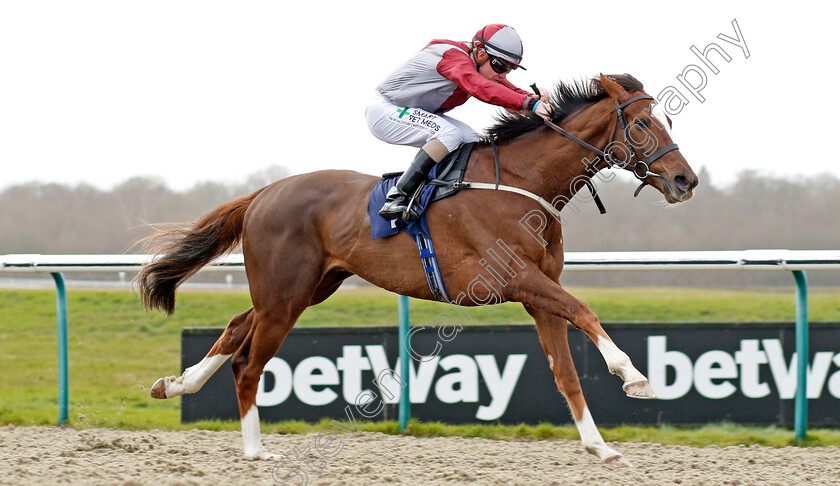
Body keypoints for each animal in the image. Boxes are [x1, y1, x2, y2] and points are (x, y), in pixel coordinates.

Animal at [138, 74, 700, 466]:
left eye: (668, 123)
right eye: (643, 124)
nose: (685, 180)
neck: (524, 181)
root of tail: (263, 193)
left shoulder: (539, 291)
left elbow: (565, 370)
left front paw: (600, 447)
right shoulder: (517, 278)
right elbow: (584, 312)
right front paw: (635, 377)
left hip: (307, 287)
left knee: (237, 326)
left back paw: (176, 385)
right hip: (286, 293)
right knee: (248, 363)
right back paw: (255, 450)